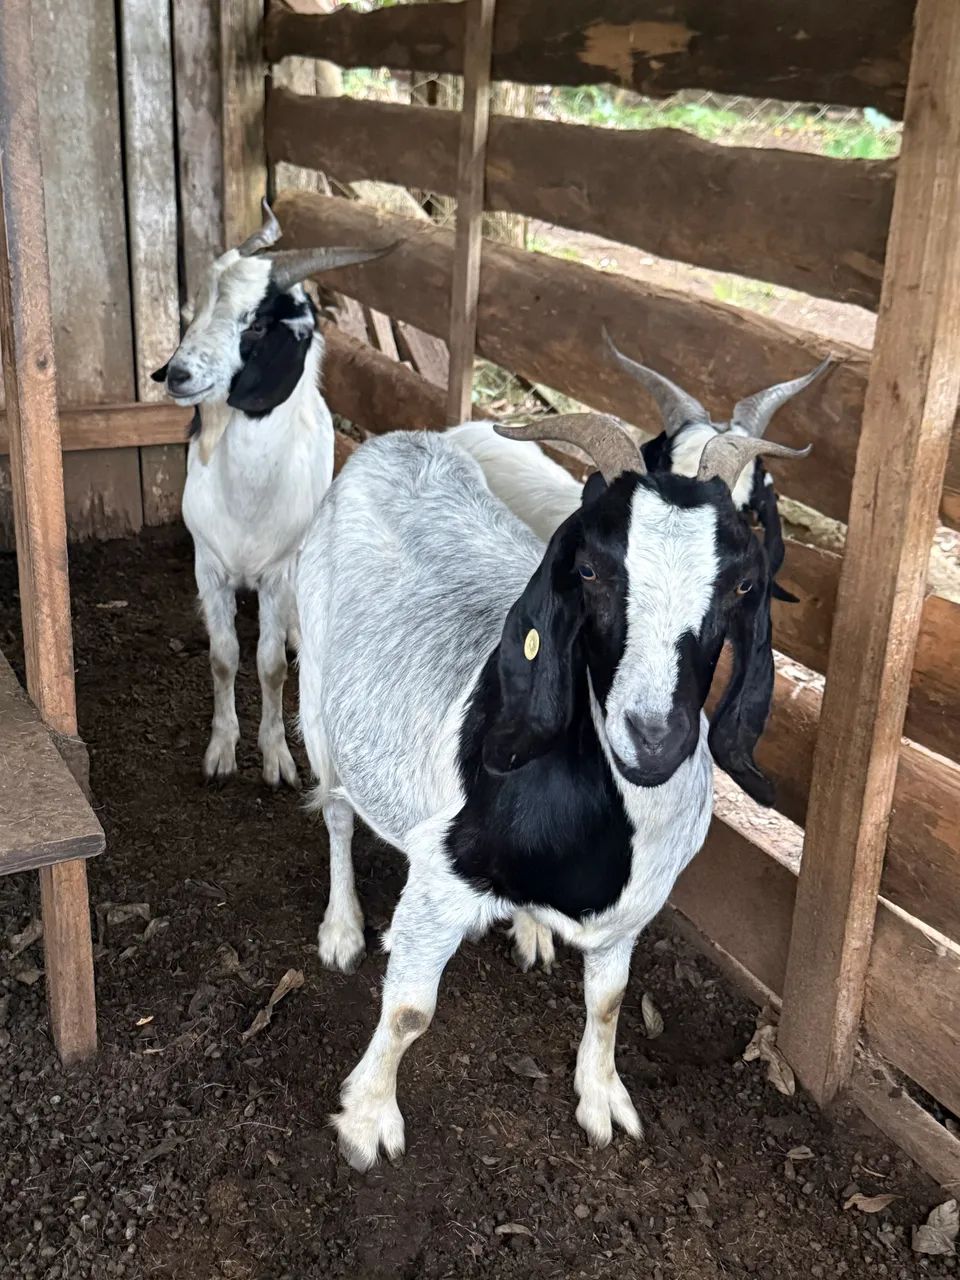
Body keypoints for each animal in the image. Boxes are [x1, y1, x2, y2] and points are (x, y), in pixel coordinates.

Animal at [151, 202, 391, 788]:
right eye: (193, 311)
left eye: (255, 322)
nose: (177, 374)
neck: (247, 503)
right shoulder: (208, 566)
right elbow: (223, 656)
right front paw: (221, 751)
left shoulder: (279, 575)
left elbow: (271, 665)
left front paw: (277, 757)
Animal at [296, 413, 809, 1169]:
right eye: (589, 569)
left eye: (743, 585)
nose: (655, 736)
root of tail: (402, 439)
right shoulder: (442, 879)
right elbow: (411, 1011)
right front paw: (366, 1121)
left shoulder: (635, 906)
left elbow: (611, 1000)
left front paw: (603, 1098)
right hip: (317, 697)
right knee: (334, 810)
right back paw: (343, 928)